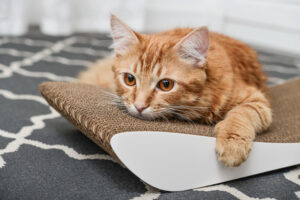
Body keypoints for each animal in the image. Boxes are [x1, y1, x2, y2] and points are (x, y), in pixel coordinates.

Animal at [78, 14, 272, 166]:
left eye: (166, 84)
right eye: (130, 79)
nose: (140, 106)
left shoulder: (257, 101)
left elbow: (241, 114)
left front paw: (233, 146)